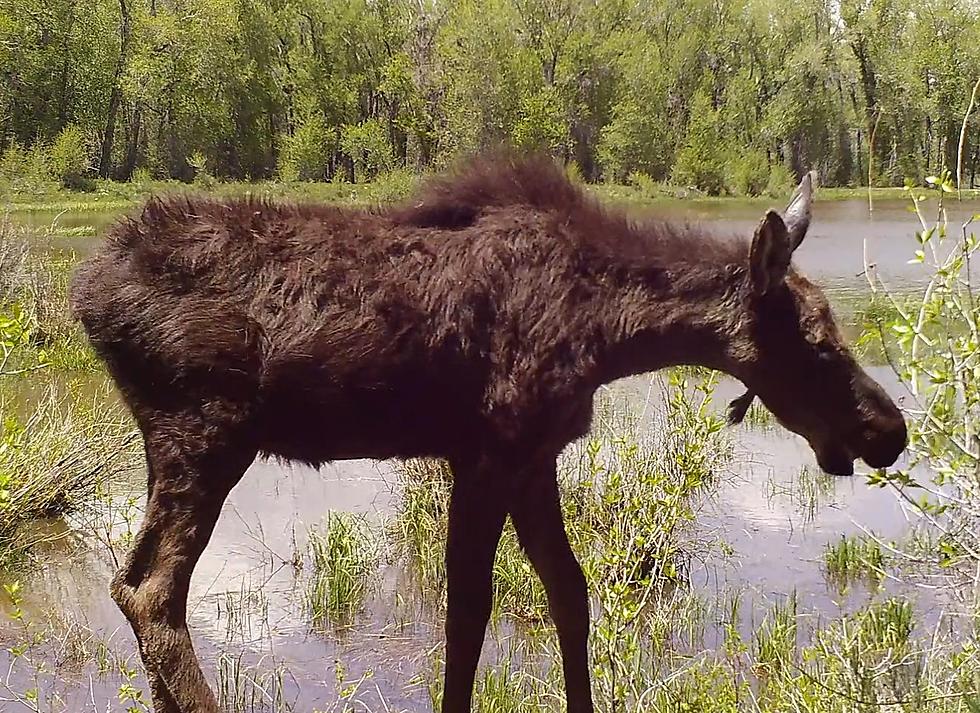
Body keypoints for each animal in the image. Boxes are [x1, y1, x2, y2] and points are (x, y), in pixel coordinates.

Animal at [72, 156, 908, 712]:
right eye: (819, 342)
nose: (890, 429)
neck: (610, 335)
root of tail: (87, 291)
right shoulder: (487, 455)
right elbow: (467, 613)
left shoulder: (535, 459)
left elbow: (568, 594)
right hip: (205, 435)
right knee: (155, 594)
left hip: (172, 448)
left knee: (129, 584)